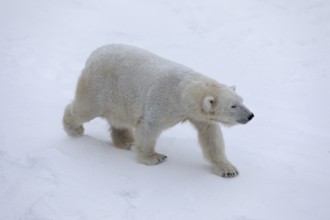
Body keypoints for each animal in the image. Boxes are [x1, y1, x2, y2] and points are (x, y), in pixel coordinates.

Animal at [63, 44, 254, 177]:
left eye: (241, 101)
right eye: (233, 106)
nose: (251, 115)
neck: (185, 90)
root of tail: (94, 54)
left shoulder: (200, 117)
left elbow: (211, 137)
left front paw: (228, 169)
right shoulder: (163, 101)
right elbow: (149, 127)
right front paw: (154, 157)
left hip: (119, 97)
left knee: (119, 118)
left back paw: (126, 141)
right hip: (101, 85)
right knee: (86, 108)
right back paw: (74, 128)